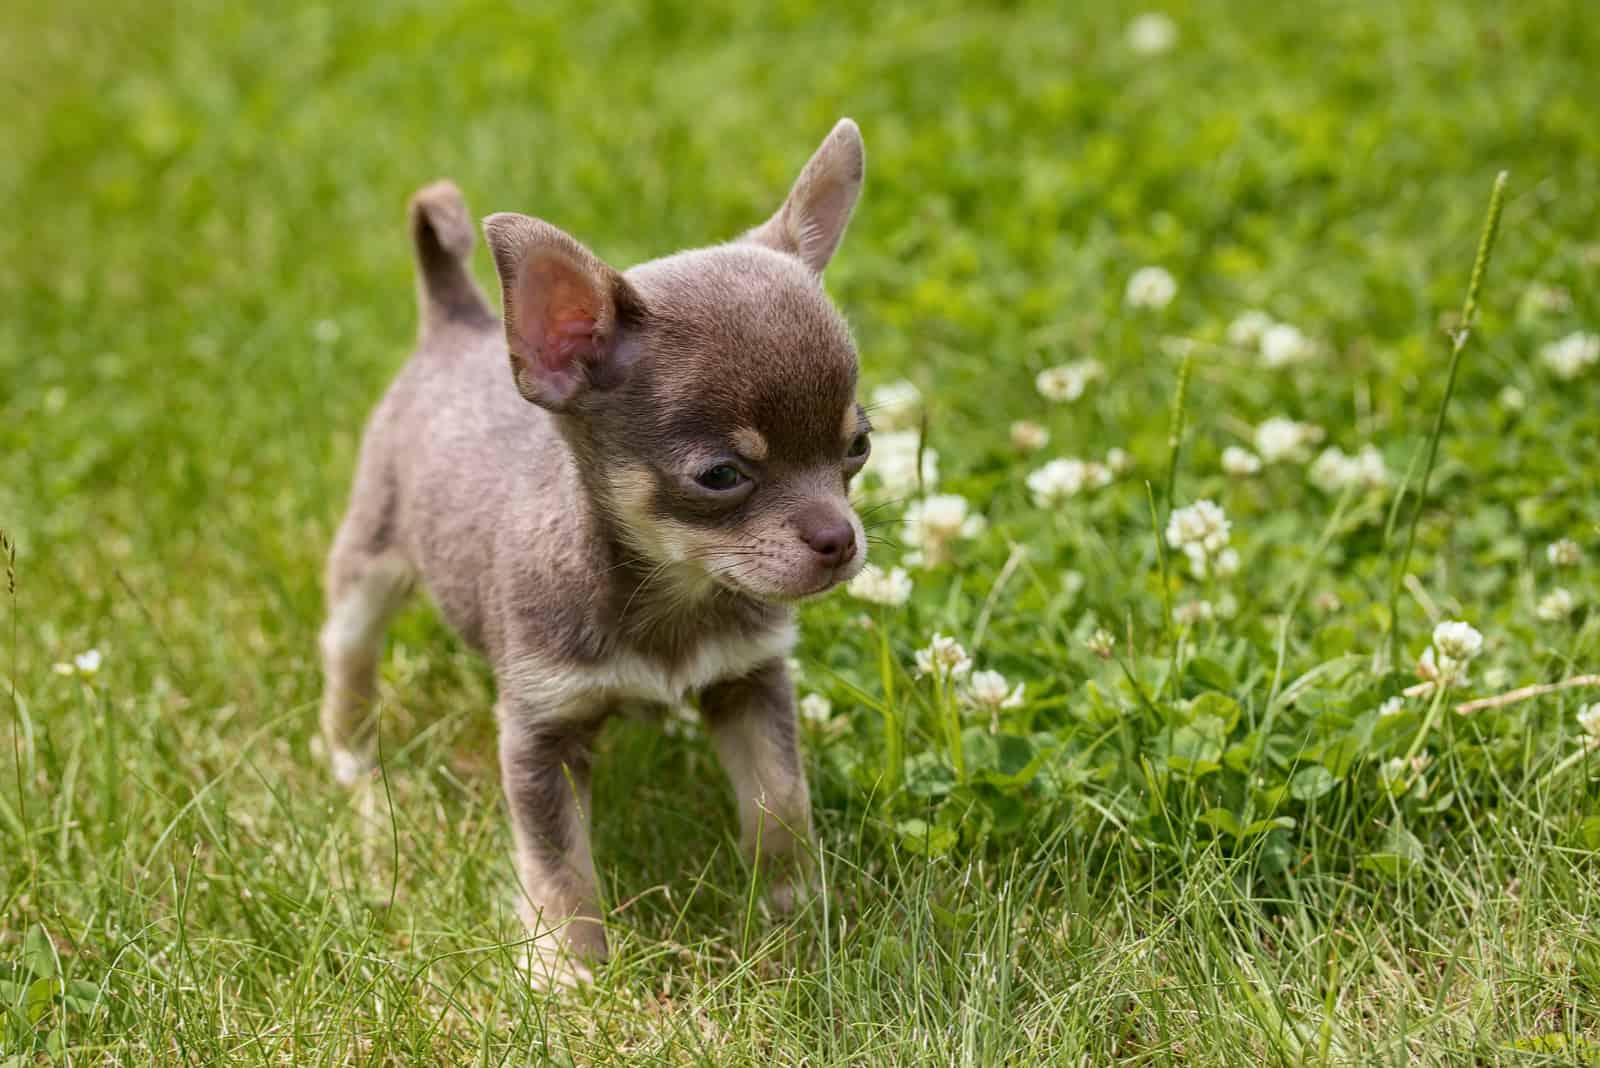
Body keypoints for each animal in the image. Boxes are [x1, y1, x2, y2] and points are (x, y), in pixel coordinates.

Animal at [318, 120, 870, 978]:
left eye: (858, 447)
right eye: (721, 476)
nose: (840, 539)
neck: (671, 591)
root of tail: (460, 321)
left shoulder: (749, 683)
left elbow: (781, 799)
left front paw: (794, 908)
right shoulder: (539, 736)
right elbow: (559, 863)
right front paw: (569, 969)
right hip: (369, 559)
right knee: (346, 650)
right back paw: (349, 756)